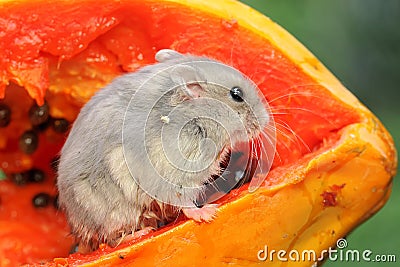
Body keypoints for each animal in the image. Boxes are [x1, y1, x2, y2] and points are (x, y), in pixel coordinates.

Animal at [57, 48, 272, 251]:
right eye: (236, 94)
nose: (266, 120)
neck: (196, 116)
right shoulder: (176, 174)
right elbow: (184, 201)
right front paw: (208, 213)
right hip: (116, 212)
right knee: (110, 240)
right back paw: (142, 232)